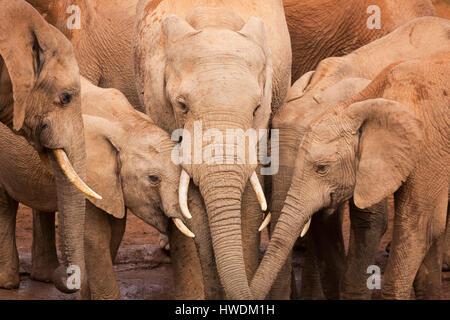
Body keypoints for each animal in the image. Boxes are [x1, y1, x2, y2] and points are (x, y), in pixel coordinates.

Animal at [0, 76, 196, 298]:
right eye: (153, 178)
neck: (126, 126)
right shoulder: (89, 177)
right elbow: (94, 237)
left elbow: (115, 230)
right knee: (5, 206)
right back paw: (8, 283)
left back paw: (45, 276)